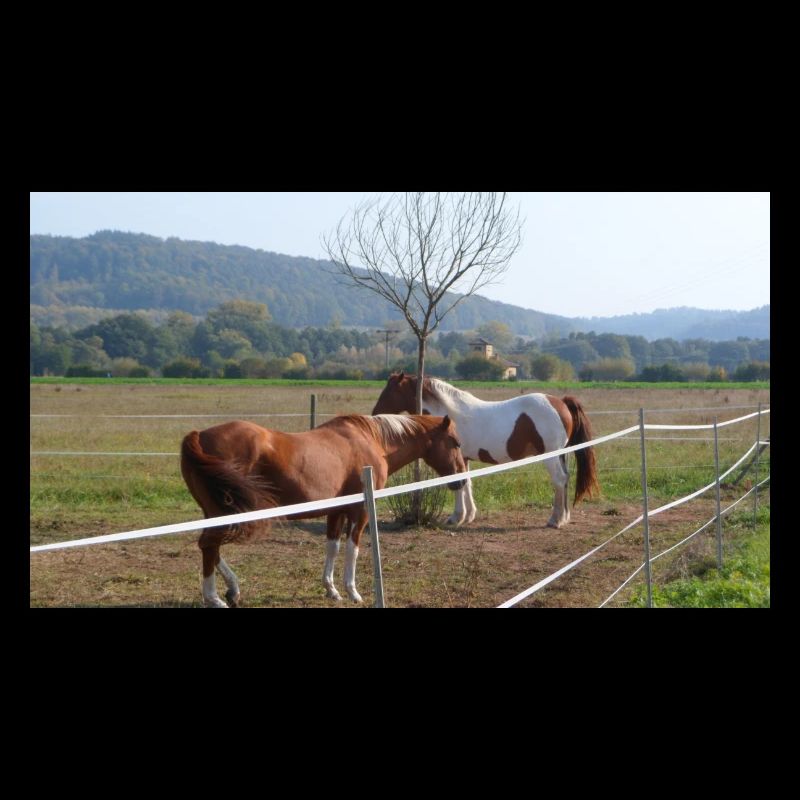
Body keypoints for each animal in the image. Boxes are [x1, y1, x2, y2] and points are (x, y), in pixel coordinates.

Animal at [180, 413, 466, 607]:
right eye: (455, 442)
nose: (461, 480)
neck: (370, 440)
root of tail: (198, 435)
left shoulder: (336, 511)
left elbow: (332, 547)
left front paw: (332, 590)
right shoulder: (360, 511)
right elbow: (352, 548)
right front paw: (352, 592)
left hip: (214, 512)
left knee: (211, 548)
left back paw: (232, 589)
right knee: (209, 545)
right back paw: (214, 597)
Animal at [372, 372, 599, 529]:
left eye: (390, 391)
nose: (374, 413)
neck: (450, 416)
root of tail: (561, 402)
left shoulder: (456, 458)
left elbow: (458, 484)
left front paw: (456, 517)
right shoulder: (463, 458)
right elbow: (467, 483)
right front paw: (469, 515)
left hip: (550, 455)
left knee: (559, 480)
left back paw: (555, 520)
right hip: (561, 455)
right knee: (566, 479)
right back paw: (564, 517)